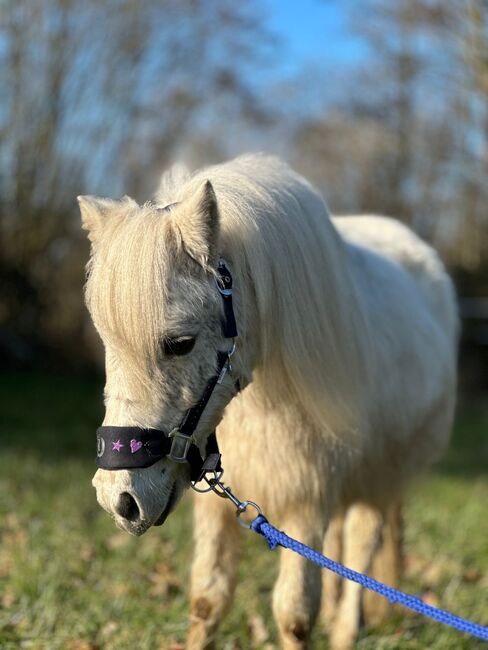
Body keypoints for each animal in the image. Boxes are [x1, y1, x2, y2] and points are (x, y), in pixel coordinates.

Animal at [79, 153, 458, 648]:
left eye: (180, 343)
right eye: (107, 341)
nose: (120, 500)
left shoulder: (306, 500)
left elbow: (294, 615)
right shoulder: (222, 502)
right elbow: (208, 601)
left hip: (380, 476)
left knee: (361, 547)